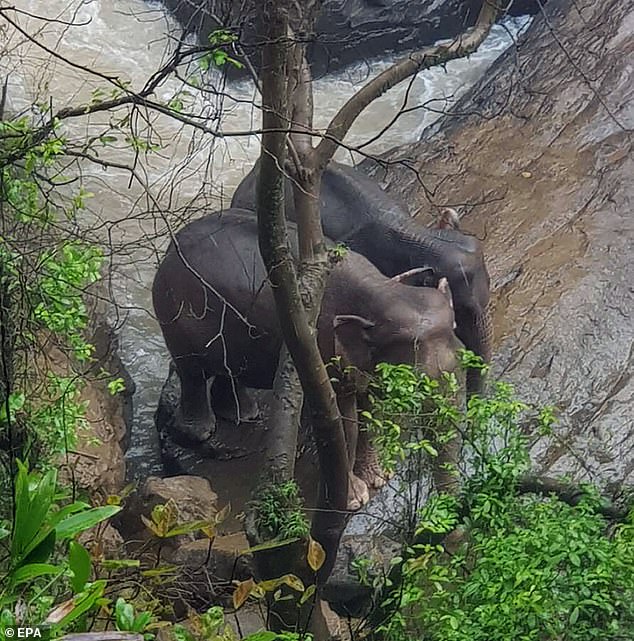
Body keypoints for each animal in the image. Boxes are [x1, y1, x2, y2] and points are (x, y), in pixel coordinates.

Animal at [152, 209, 460, 504]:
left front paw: (379, 479)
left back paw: (244, 414)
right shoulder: (323, 350)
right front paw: (354, 500)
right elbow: (345, 421)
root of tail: (170, 248)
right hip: (176, 318)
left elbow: (370, 410)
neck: (381, 289)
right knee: (192, 373)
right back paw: (202, 431)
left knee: (228, 371)